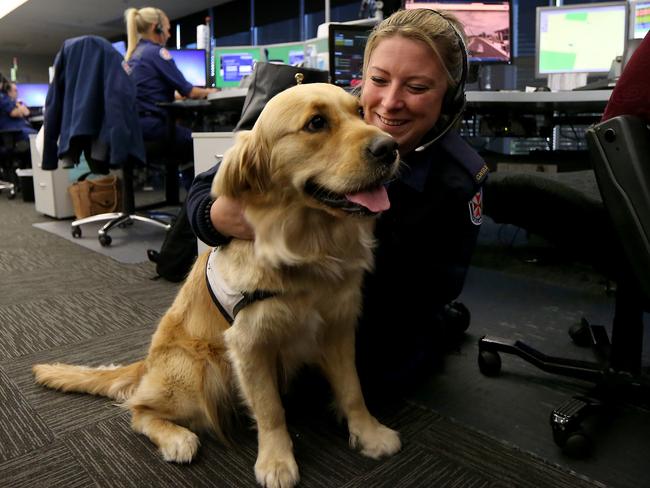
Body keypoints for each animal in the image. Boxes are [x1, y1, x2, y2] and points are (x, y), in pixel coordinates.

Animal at [34, 84, 404, 488]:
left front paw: (369, 433)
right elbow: (270, 411)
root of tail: (147, 363)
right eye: (316, 123)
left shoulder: (337, 326)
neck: (308, 246)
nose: (389, 147)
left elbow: (353, 389)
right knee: (139, 410)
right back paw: (178, 439)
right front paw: (276, 461)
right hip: (198, 371)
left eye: (360, 112)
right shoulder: (248, 344)